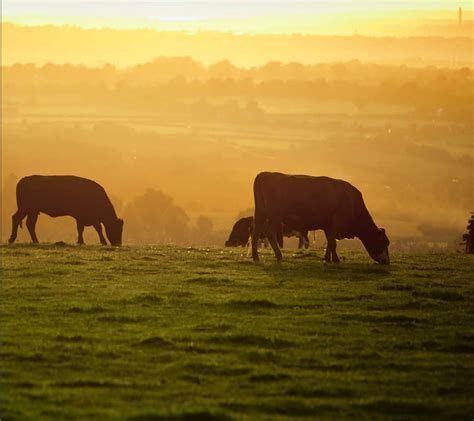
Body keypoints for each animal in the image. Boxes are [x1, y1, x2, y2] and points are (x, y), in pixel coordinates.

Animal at [252, 171, 388, 262]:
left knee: (256, 232)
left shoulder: (328, 225)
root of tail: (265, 174)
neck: (352, 203)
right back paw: (279, 255)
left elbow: (330, 242)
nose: (387, 262)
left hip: (260, 213)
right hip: (275, 215)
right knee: (269, 232)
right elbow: (333, 243)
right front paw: (336, 260)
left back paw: (256, 256)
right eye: (385, 242)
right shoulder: (335, 223)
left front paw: (328, 258)